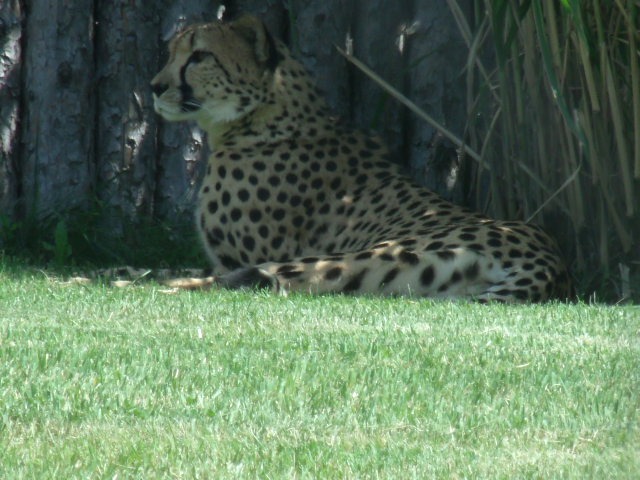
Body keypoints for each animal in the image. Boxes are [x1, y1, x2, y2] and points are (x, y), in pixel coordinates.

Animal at [149, 14, 571, 302]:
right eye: (171, 54)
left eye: (199, 56)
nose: (155, 86)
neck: (264, 117)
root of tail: (549, 256)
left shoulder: (241, 257)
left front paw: (145, 276)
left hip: (360, 256)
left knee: (251, 282)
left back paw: (154, 288)